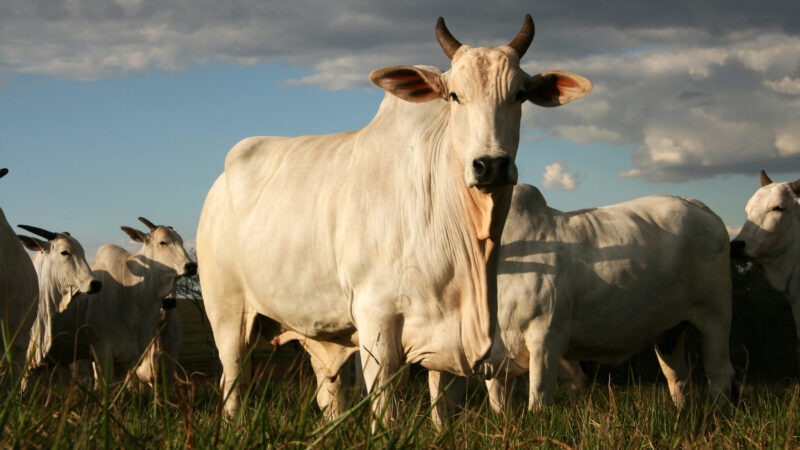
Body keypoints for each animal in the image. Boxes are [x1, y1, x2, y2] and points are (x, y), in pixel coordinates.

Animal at [196, 14, 592, 422]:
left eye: (519, 95)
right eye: (454, 95)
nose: (491, 165)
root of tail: (220, 183)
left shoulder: (451, 339)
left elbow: (444, 409)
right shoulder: (377, 318)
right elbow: (386, 406)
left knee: (326, 390)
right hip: (227, 313)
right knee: (233, 382)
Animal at [428, 184, 734, 422]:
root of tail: (698, 206)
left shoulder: (546, 337)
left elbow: (538, 399)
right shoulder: (495, 360)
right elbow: (495, 404)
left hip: (715, 316)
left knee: (719, 372)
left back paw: (720, 416)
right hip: (669, 331)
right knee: (677, 378)